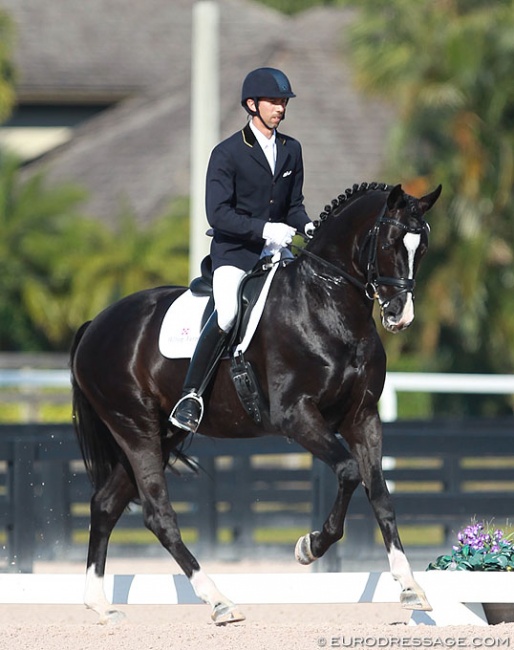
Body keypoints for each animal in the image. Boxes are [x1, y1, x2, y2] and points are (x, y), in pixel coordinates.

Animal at [70, 181, 440, 624]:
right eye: (388, 242)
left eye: (422, 247)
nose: (400, 315)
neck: (328, 305)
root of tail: (95, 325)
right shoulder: (296, 416)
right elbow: (350, 472)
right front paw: (310, 546)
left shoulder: (363, 418)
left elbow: (380, 494)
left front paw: (410, 587)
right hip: (135, 429)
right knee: (158, 515)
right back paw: (218, 601)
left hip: (159, 435)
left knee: (105, 505)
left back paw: (100, 605)